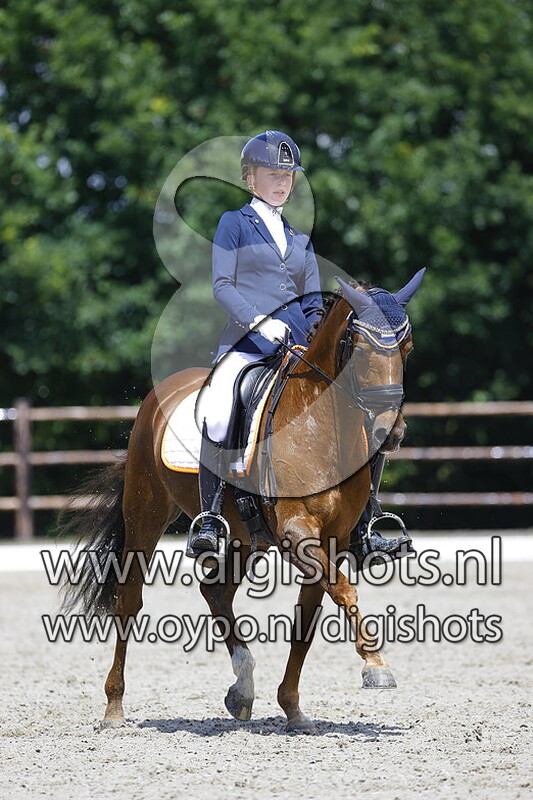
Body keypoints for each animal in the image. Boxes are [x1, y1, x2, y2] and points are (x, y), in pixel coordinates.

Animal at [60, 268, 425, 733]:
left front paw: (293, 708)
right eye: (359, 351)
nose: (390, 432)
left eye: (407, 349)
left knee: (215, 591)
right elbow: (344, 590)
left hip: (245, 538)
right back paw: (114, 708)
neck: (321, 424)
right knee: (129, 602)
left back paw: (243, 688)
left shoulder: (333, 540)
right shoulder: (296, 531)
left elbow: (307, 620)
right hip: (145, 513)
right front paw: (376, 664)